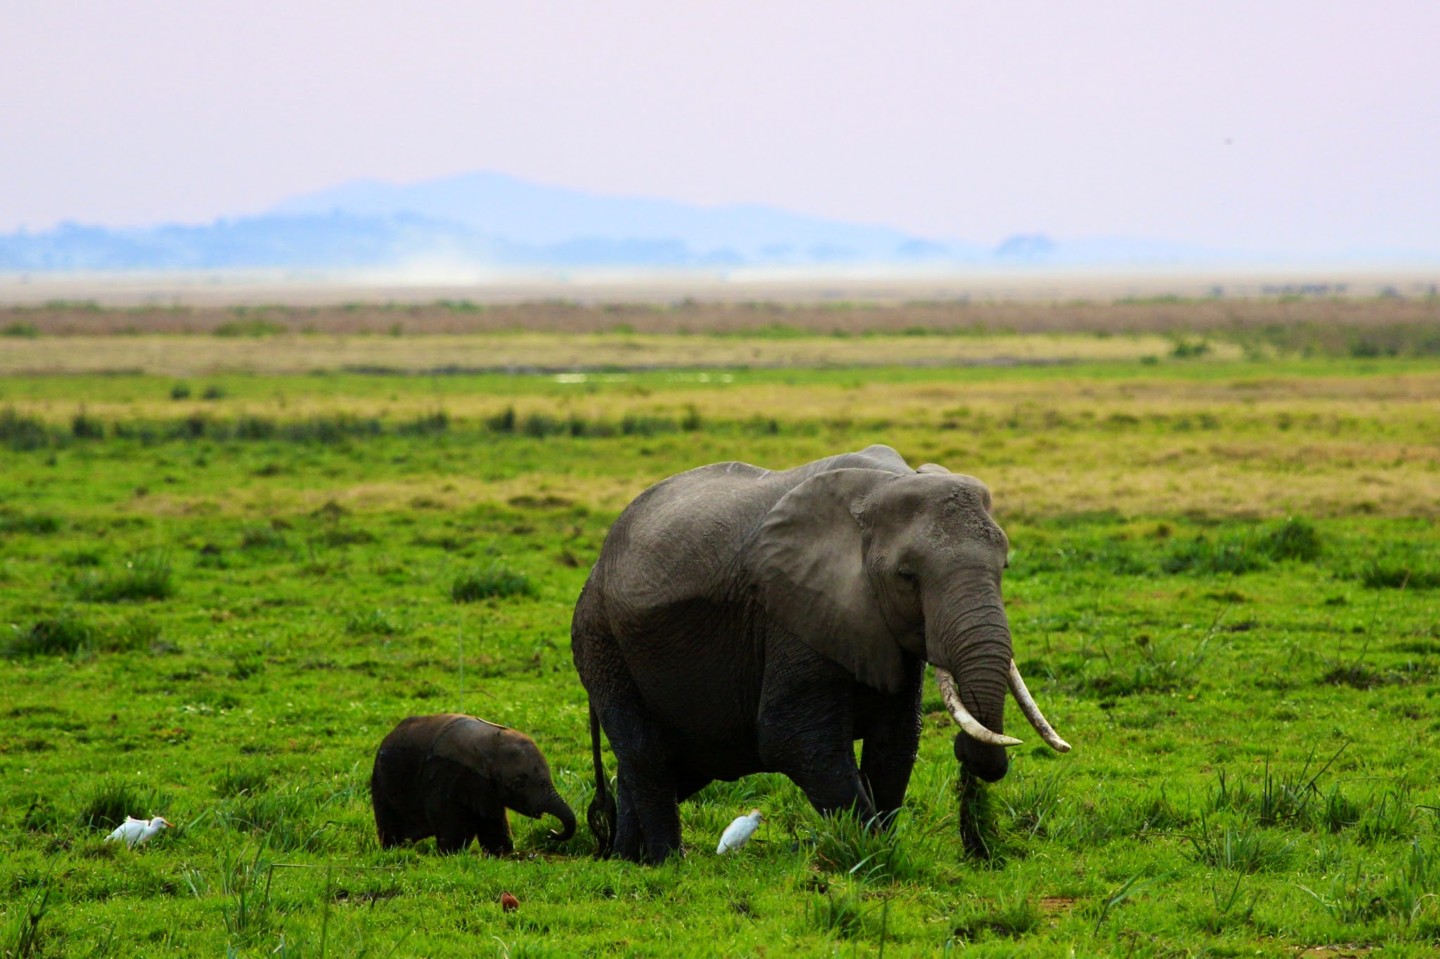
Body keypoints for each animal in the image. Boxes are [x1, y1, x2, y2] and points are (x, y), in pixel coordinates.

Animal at [368, 708, 576, 852]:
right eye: (518, 783)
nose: (551, 833)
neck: (492, 745)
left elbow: (494, 829)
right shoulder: (443, 775)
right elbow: (453, 830)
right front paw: (451, 855)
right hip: (380, 785)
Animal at [573, 443, 1071, 863]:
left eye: (1004, 565)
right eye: (907, 576)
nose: (967, 757)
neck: (885, 485)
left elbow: (896, 743)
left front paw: (884, 847)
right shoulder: (794, 611)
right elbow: (794, 740)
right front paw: (872, 855)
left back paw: (626, 857)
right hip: (599, 637)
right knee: (647, 753)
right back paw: (665, 862)